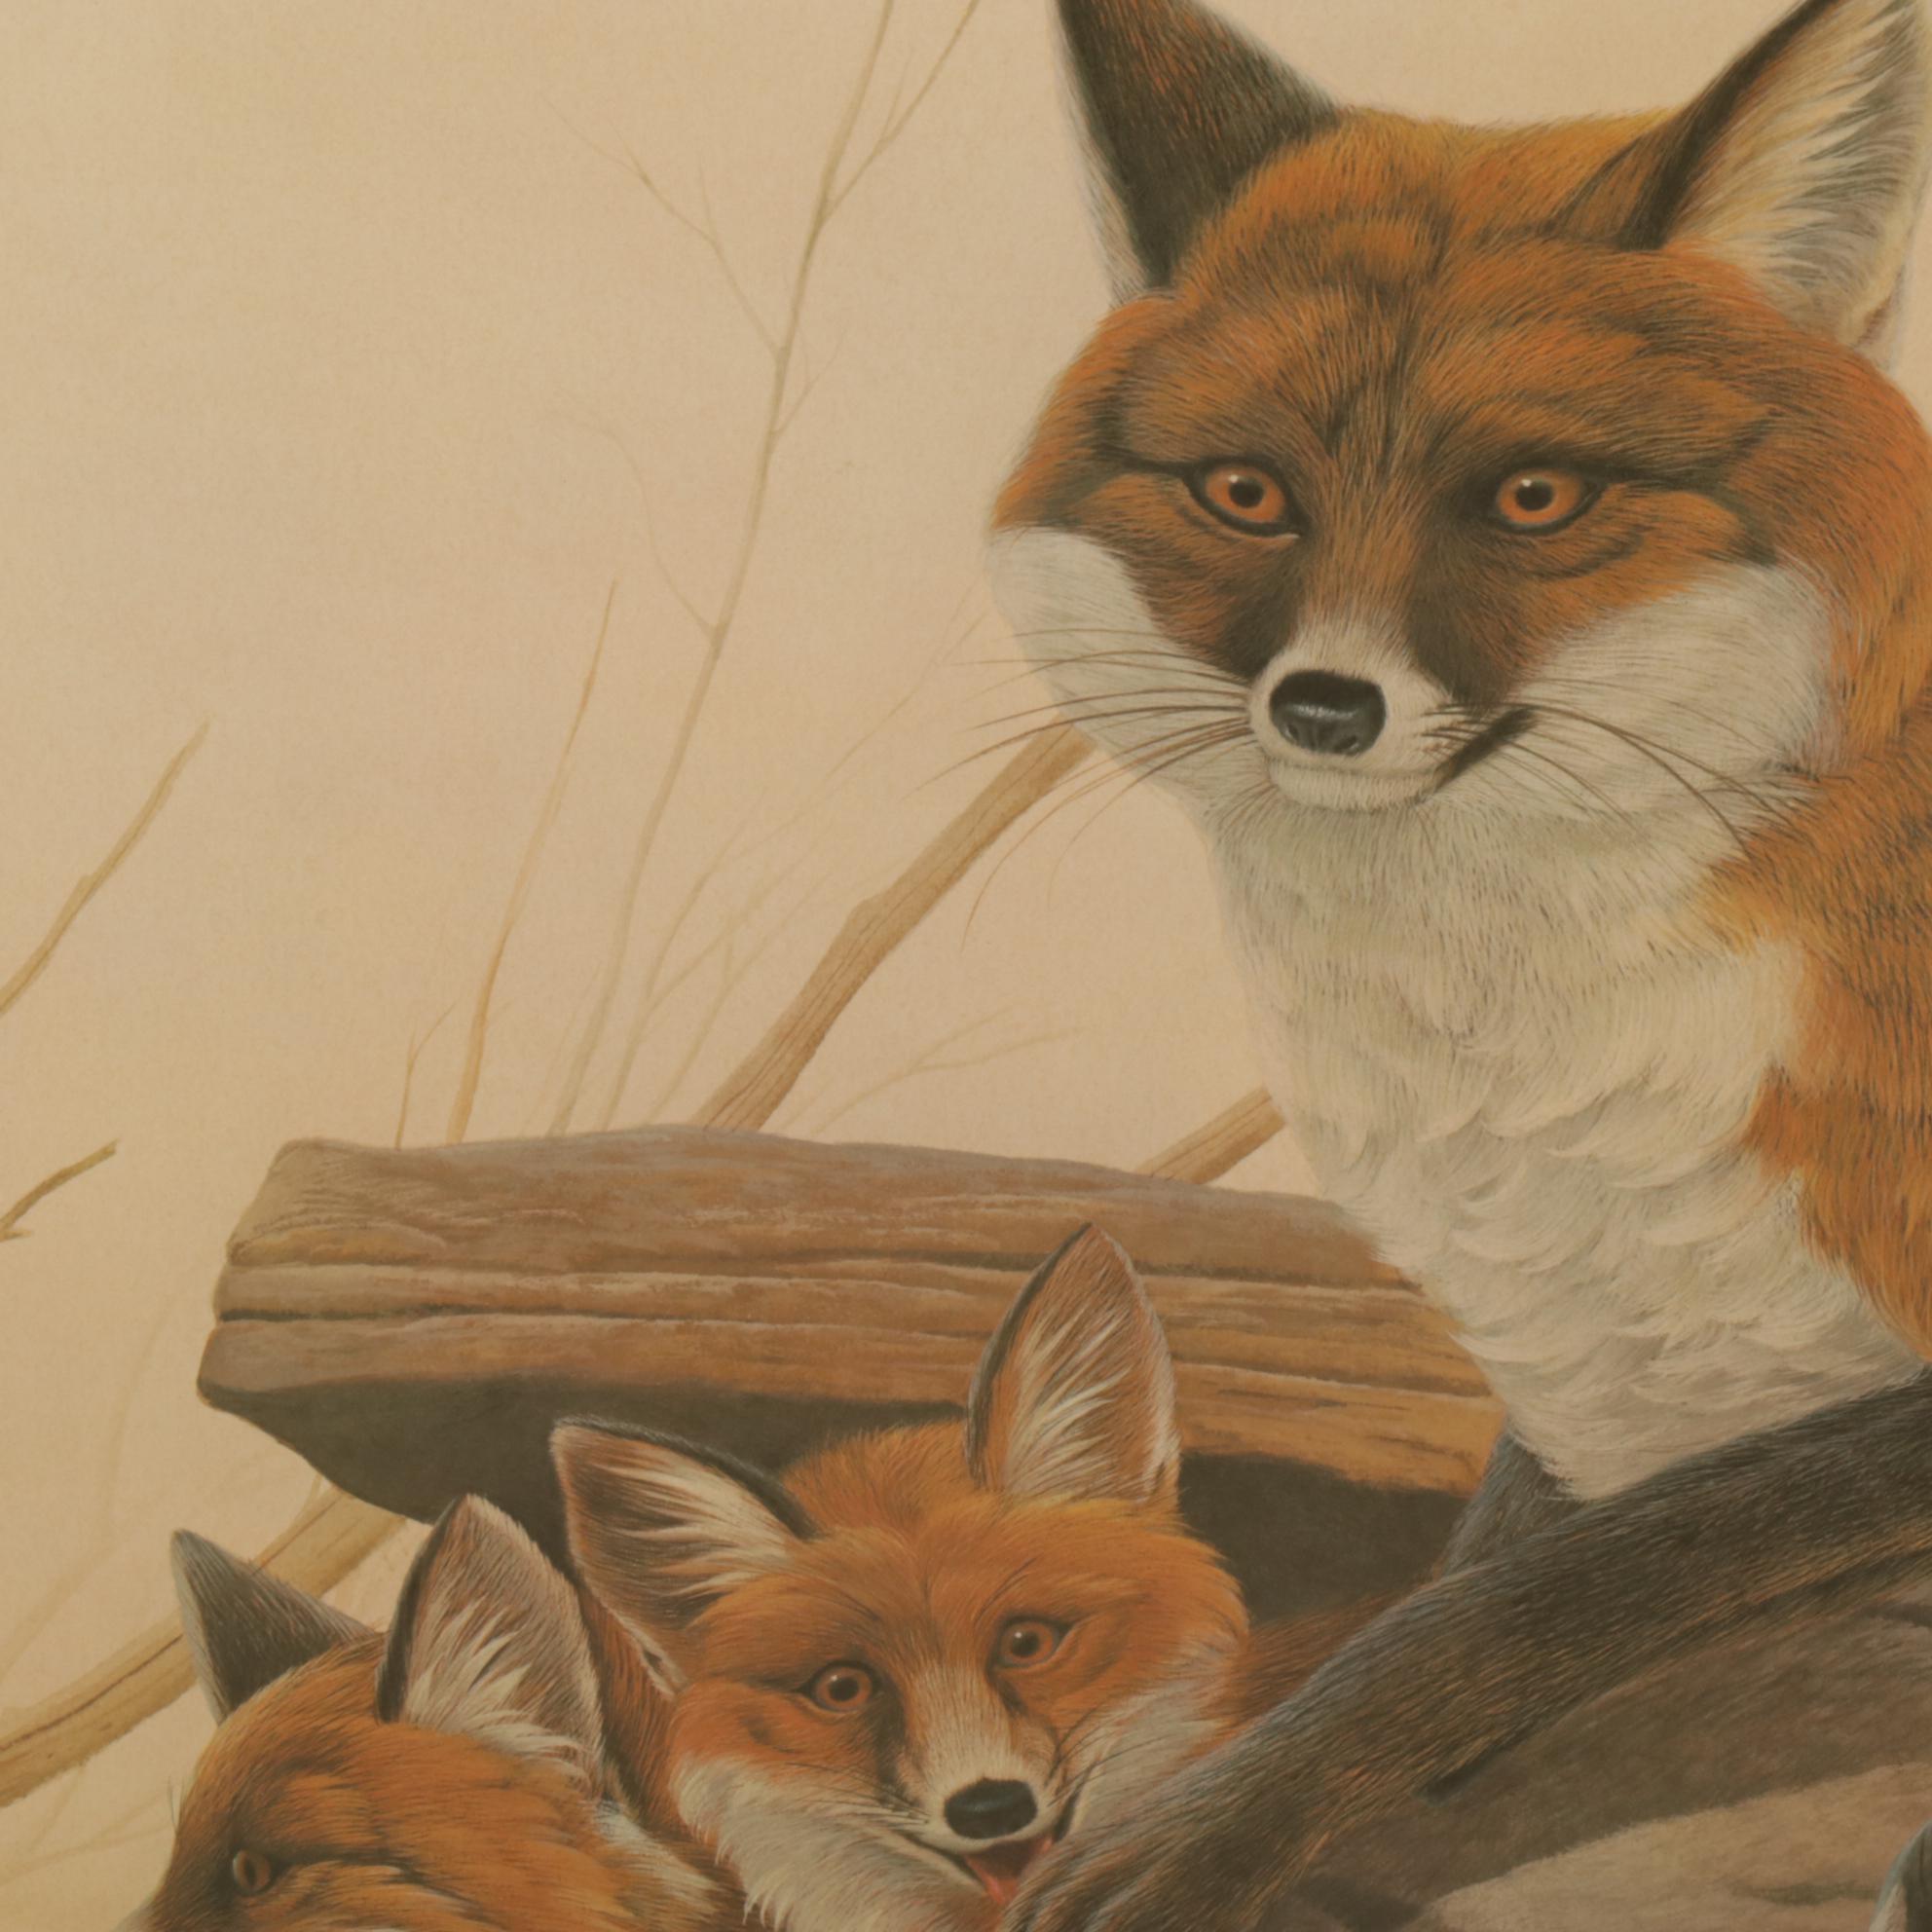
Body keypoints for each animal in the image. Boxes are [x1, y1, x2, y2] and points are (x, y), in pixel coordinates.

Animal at [979, 0, 1932, 1923]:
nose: (1324, 709)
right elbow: (1486, 1588)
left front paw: (1208, 1833)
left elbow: (1531, 1607)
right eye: (1247, 491)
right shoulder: (1594, 1396)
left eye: (1534, 496)